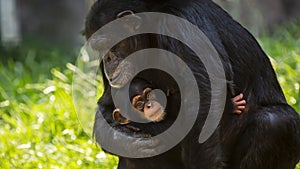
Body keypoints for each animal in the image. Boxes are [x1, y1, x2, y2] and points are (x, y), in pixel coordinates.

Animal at [84, 0, 300, 169]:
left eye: (107, 43)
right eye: (98, 48)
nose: (106, 59)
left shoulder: (180, 26)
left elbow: (203, 97)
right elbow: (107, 103)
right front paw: (124, 140)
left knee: (275, 122)